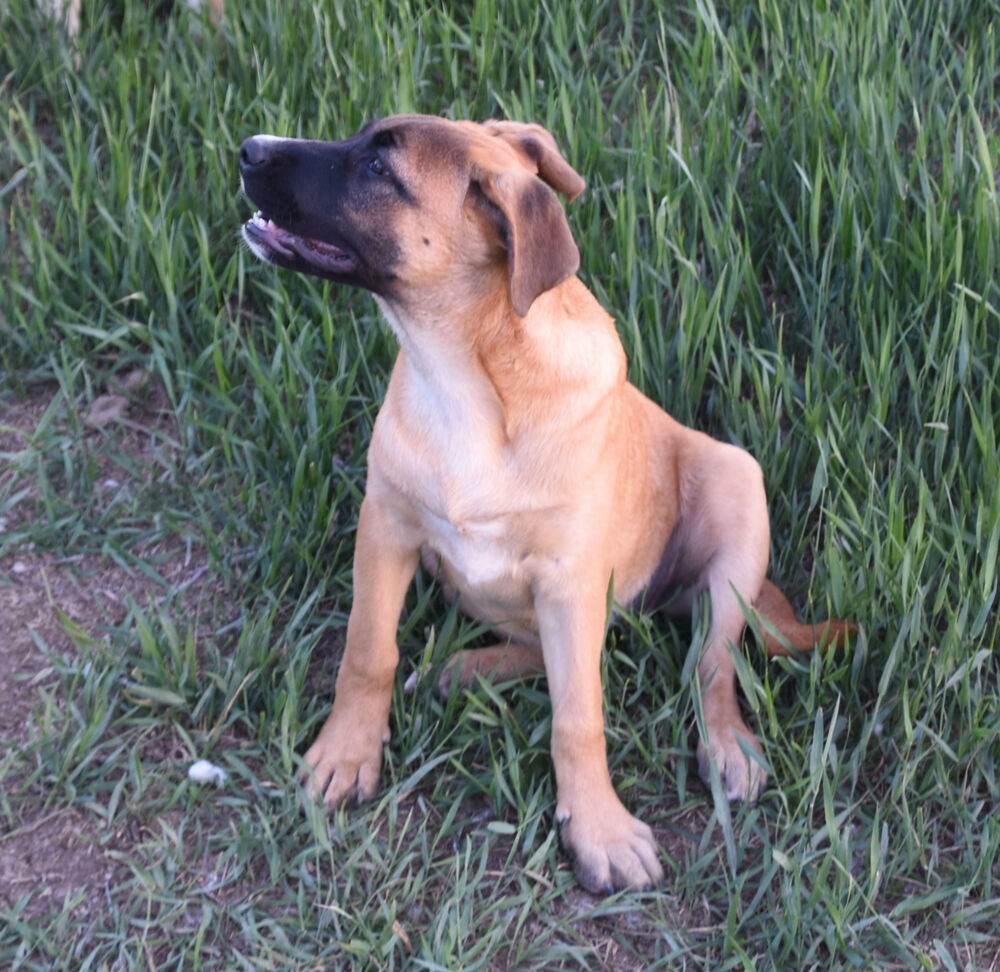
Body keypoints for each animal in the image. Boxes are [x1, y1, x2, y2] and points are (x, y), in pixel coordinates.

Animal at [238, 116, 856, 896]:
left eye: (379, 169)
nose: (248, 149)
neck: (469, 379)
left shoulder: (569, 580)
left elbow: (577, 716)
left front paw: (597, 828)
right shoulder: (386, 525)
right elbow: (368, 651)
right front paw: (346, 753)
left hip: (735, 489)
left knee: (711, 663)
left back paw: (728, 747)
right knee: (540, 650)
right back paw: (457, 671)